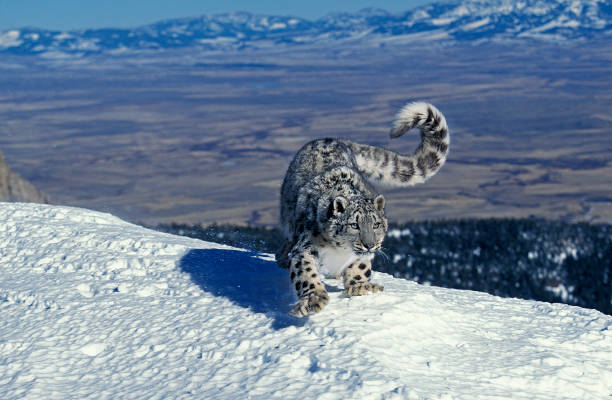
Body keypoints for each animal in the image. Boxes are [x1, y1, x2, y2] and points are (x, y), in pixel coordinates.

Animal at [278, 101, 450, 318]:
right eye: (354, 225)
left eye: (376, 224)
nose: (369, 244)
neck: (340, 251)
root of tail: (335, 139)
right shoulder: (305, 247)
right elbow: (306, 272)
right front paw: (312, 300)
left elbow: (360, 265)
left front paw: (361, 286)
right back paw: (282, 257)